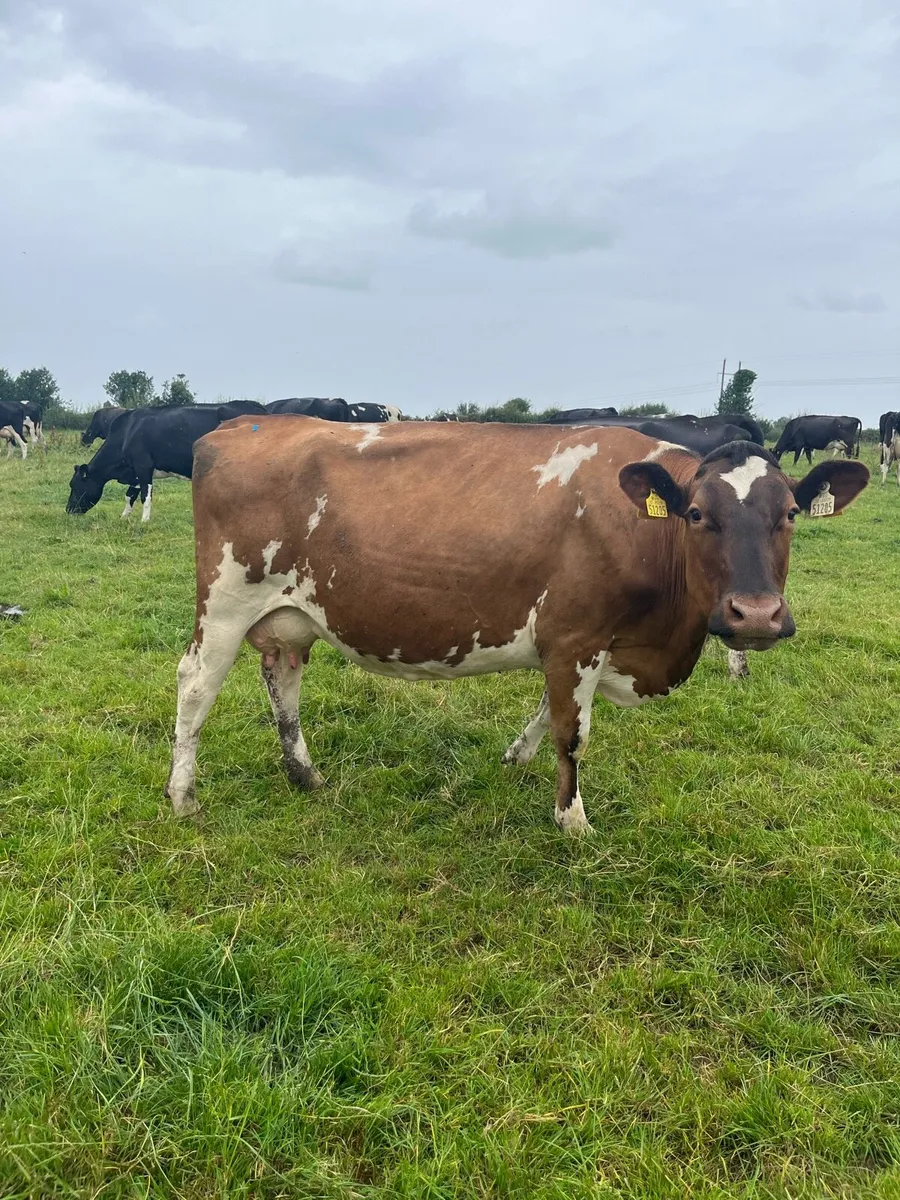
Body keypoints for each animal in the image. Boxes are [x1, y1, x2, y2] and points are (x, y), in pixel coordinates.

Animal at [67, 402, 266, 521]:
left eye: (76, 486)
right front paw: (124, 517)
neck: (127, 433)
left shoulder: (143, 466)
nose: (68, 510)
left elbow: (145, 496)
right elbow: (129, 495)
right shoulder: (134, 472)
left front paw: (144, 520)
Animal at [164, 419, 868, 831]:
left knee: (282, 678)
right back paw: (182, 795)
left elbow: (549, 711)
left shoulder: (581, 642)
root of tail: (239, 422)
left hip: (291, 612)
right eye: (696, 515)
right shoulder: (577, 635)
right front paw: (573, 820)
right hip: (226, 600)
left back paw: (304, 775)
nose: (756, 614)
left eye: (790, 514)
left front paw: (515, 758)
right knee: (195, 685)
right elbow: (573, 732)